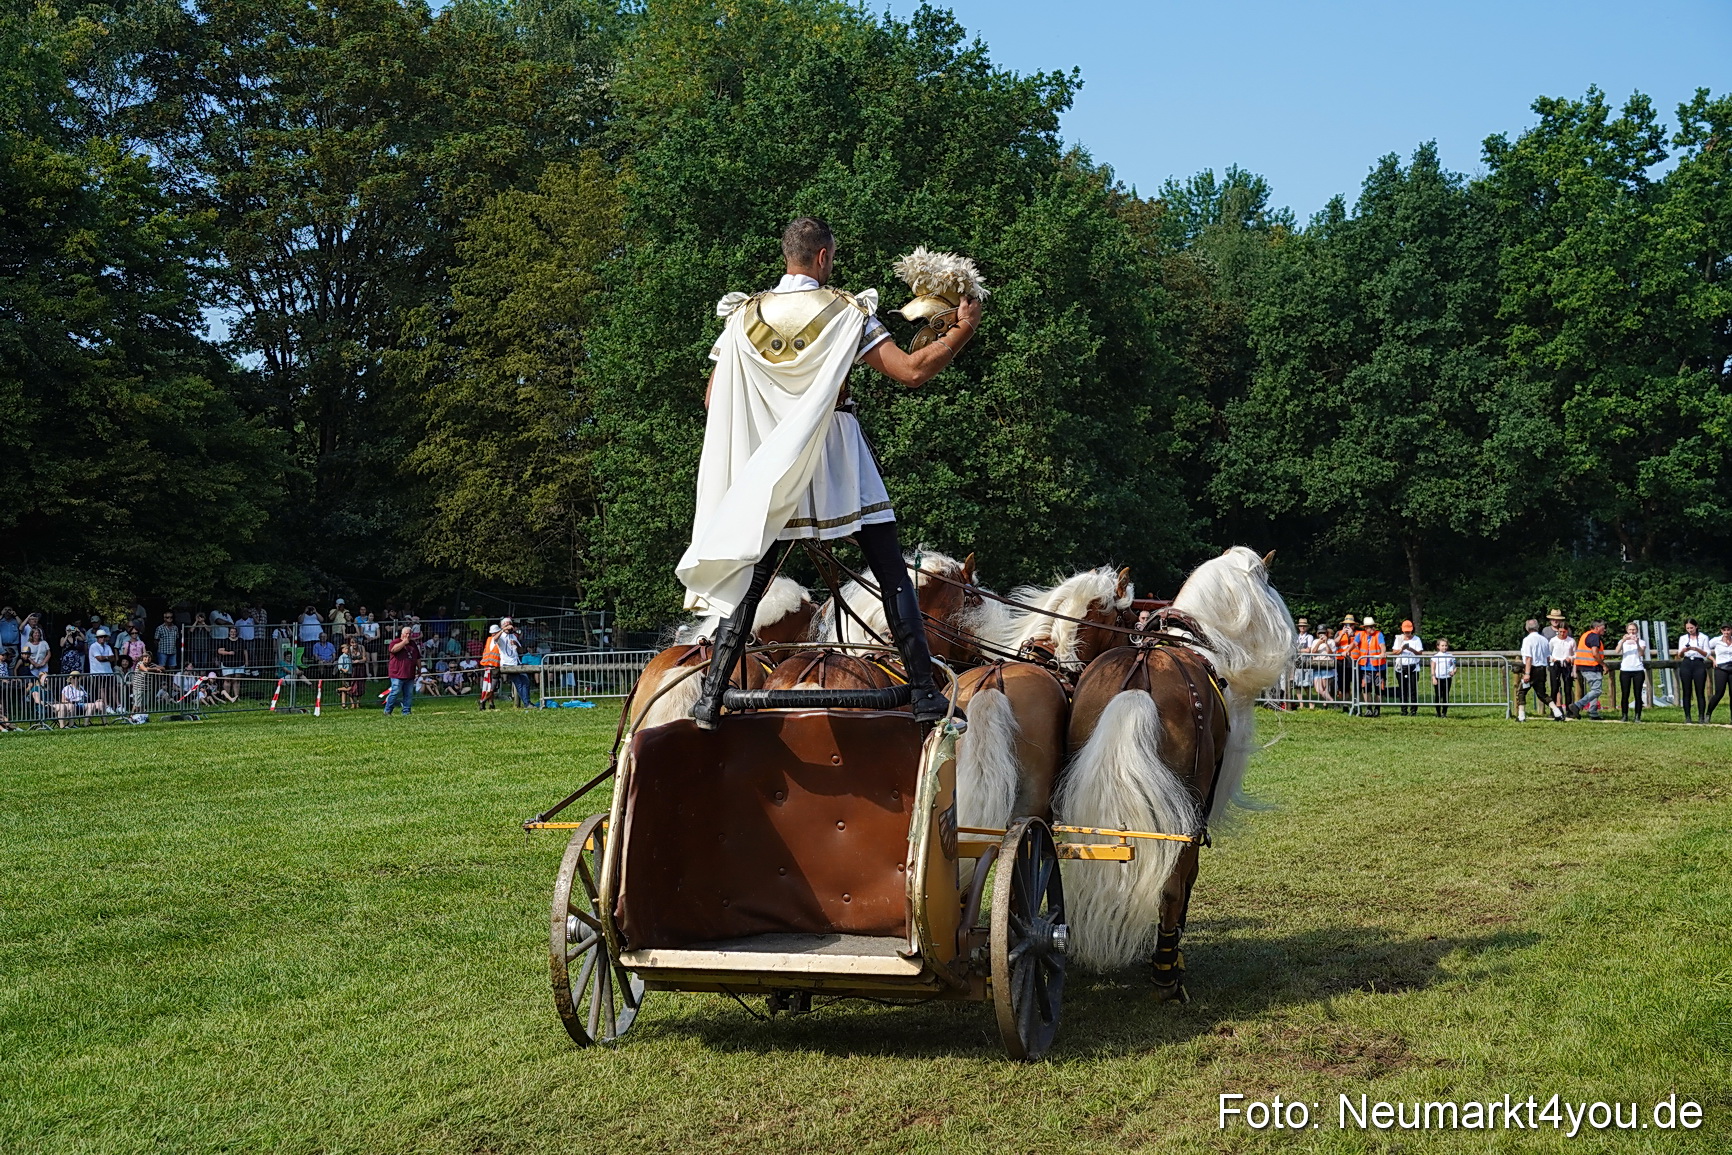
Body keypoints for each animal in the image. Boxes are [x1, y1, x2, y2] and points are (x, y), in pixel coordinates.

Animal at [1052, 547, 1293, 998]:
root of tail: (1138, 683)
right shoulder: (1197, 813)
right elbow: (1187, 877)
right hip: (1184, 815)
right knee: (1172, 883)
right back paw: (1166, 969)